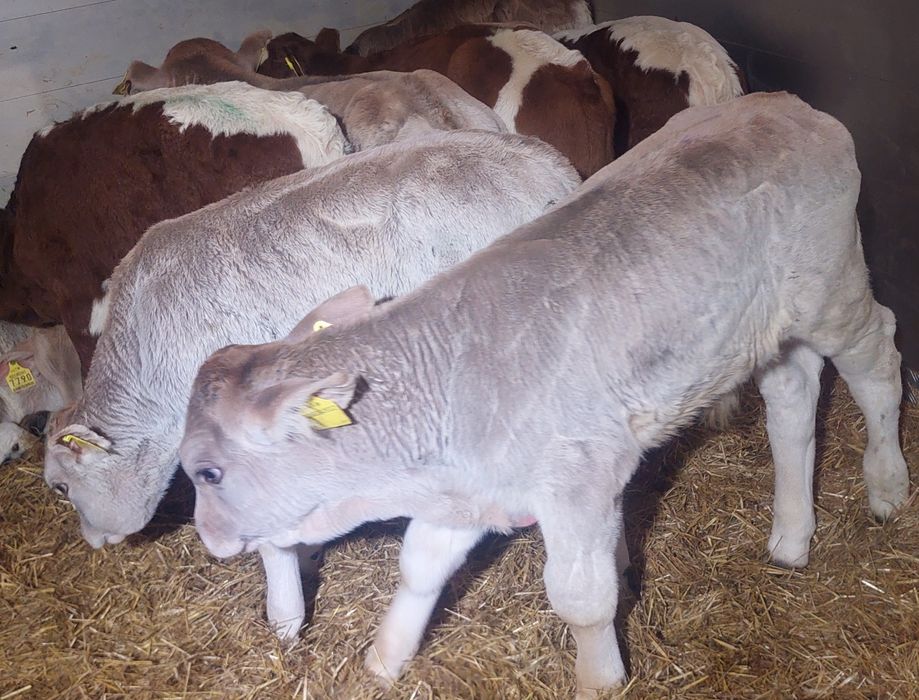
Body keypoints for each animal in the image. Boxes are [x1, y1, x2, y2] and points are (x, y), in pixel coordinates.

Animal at [178, 93, 909, 697]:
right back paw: (790, 536)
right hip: (764, 329)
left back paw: (886, 484)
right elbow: (419, 569)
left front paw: (599, 681)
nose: (208, 539)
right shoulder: (467, 492)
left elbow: (581, 598)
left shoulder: (577, 481)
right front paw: (383, 663)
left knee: (879, 355)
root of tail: (783, 103)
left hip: (832, 286)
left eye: (206, 472)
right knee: (792, 393)